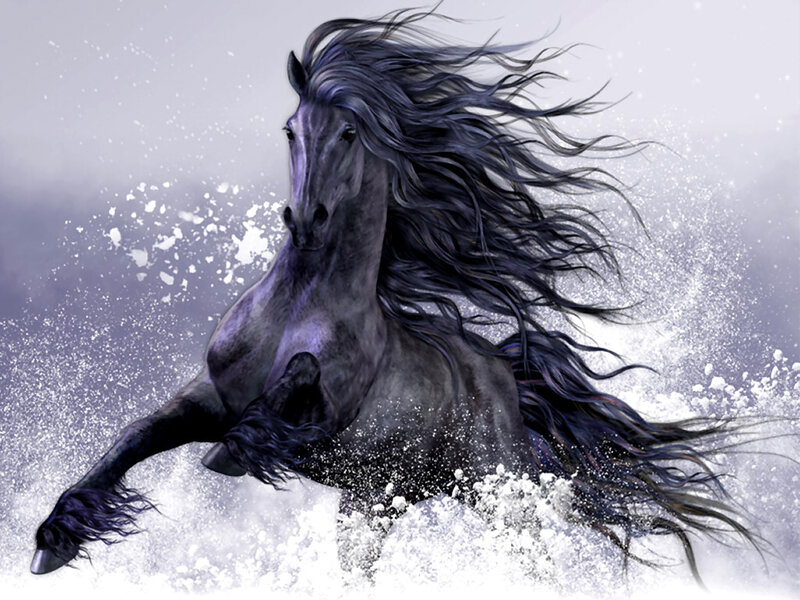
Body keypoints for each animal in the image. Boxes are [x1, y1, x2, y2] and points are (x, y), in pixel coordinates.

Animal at [31, 8, 756, 585]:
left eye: (349, 133)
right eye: (290, 130)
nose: (306, 219)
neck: (296, 307)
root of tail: (503, 373)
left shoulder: (322, 420)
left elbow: (291, 389)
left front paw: (234, 450)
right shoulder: (207, 396)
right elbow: (129, 442)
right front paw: (53, 541)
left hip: (481, 488)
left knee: (526, 553)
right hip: (386, 499)